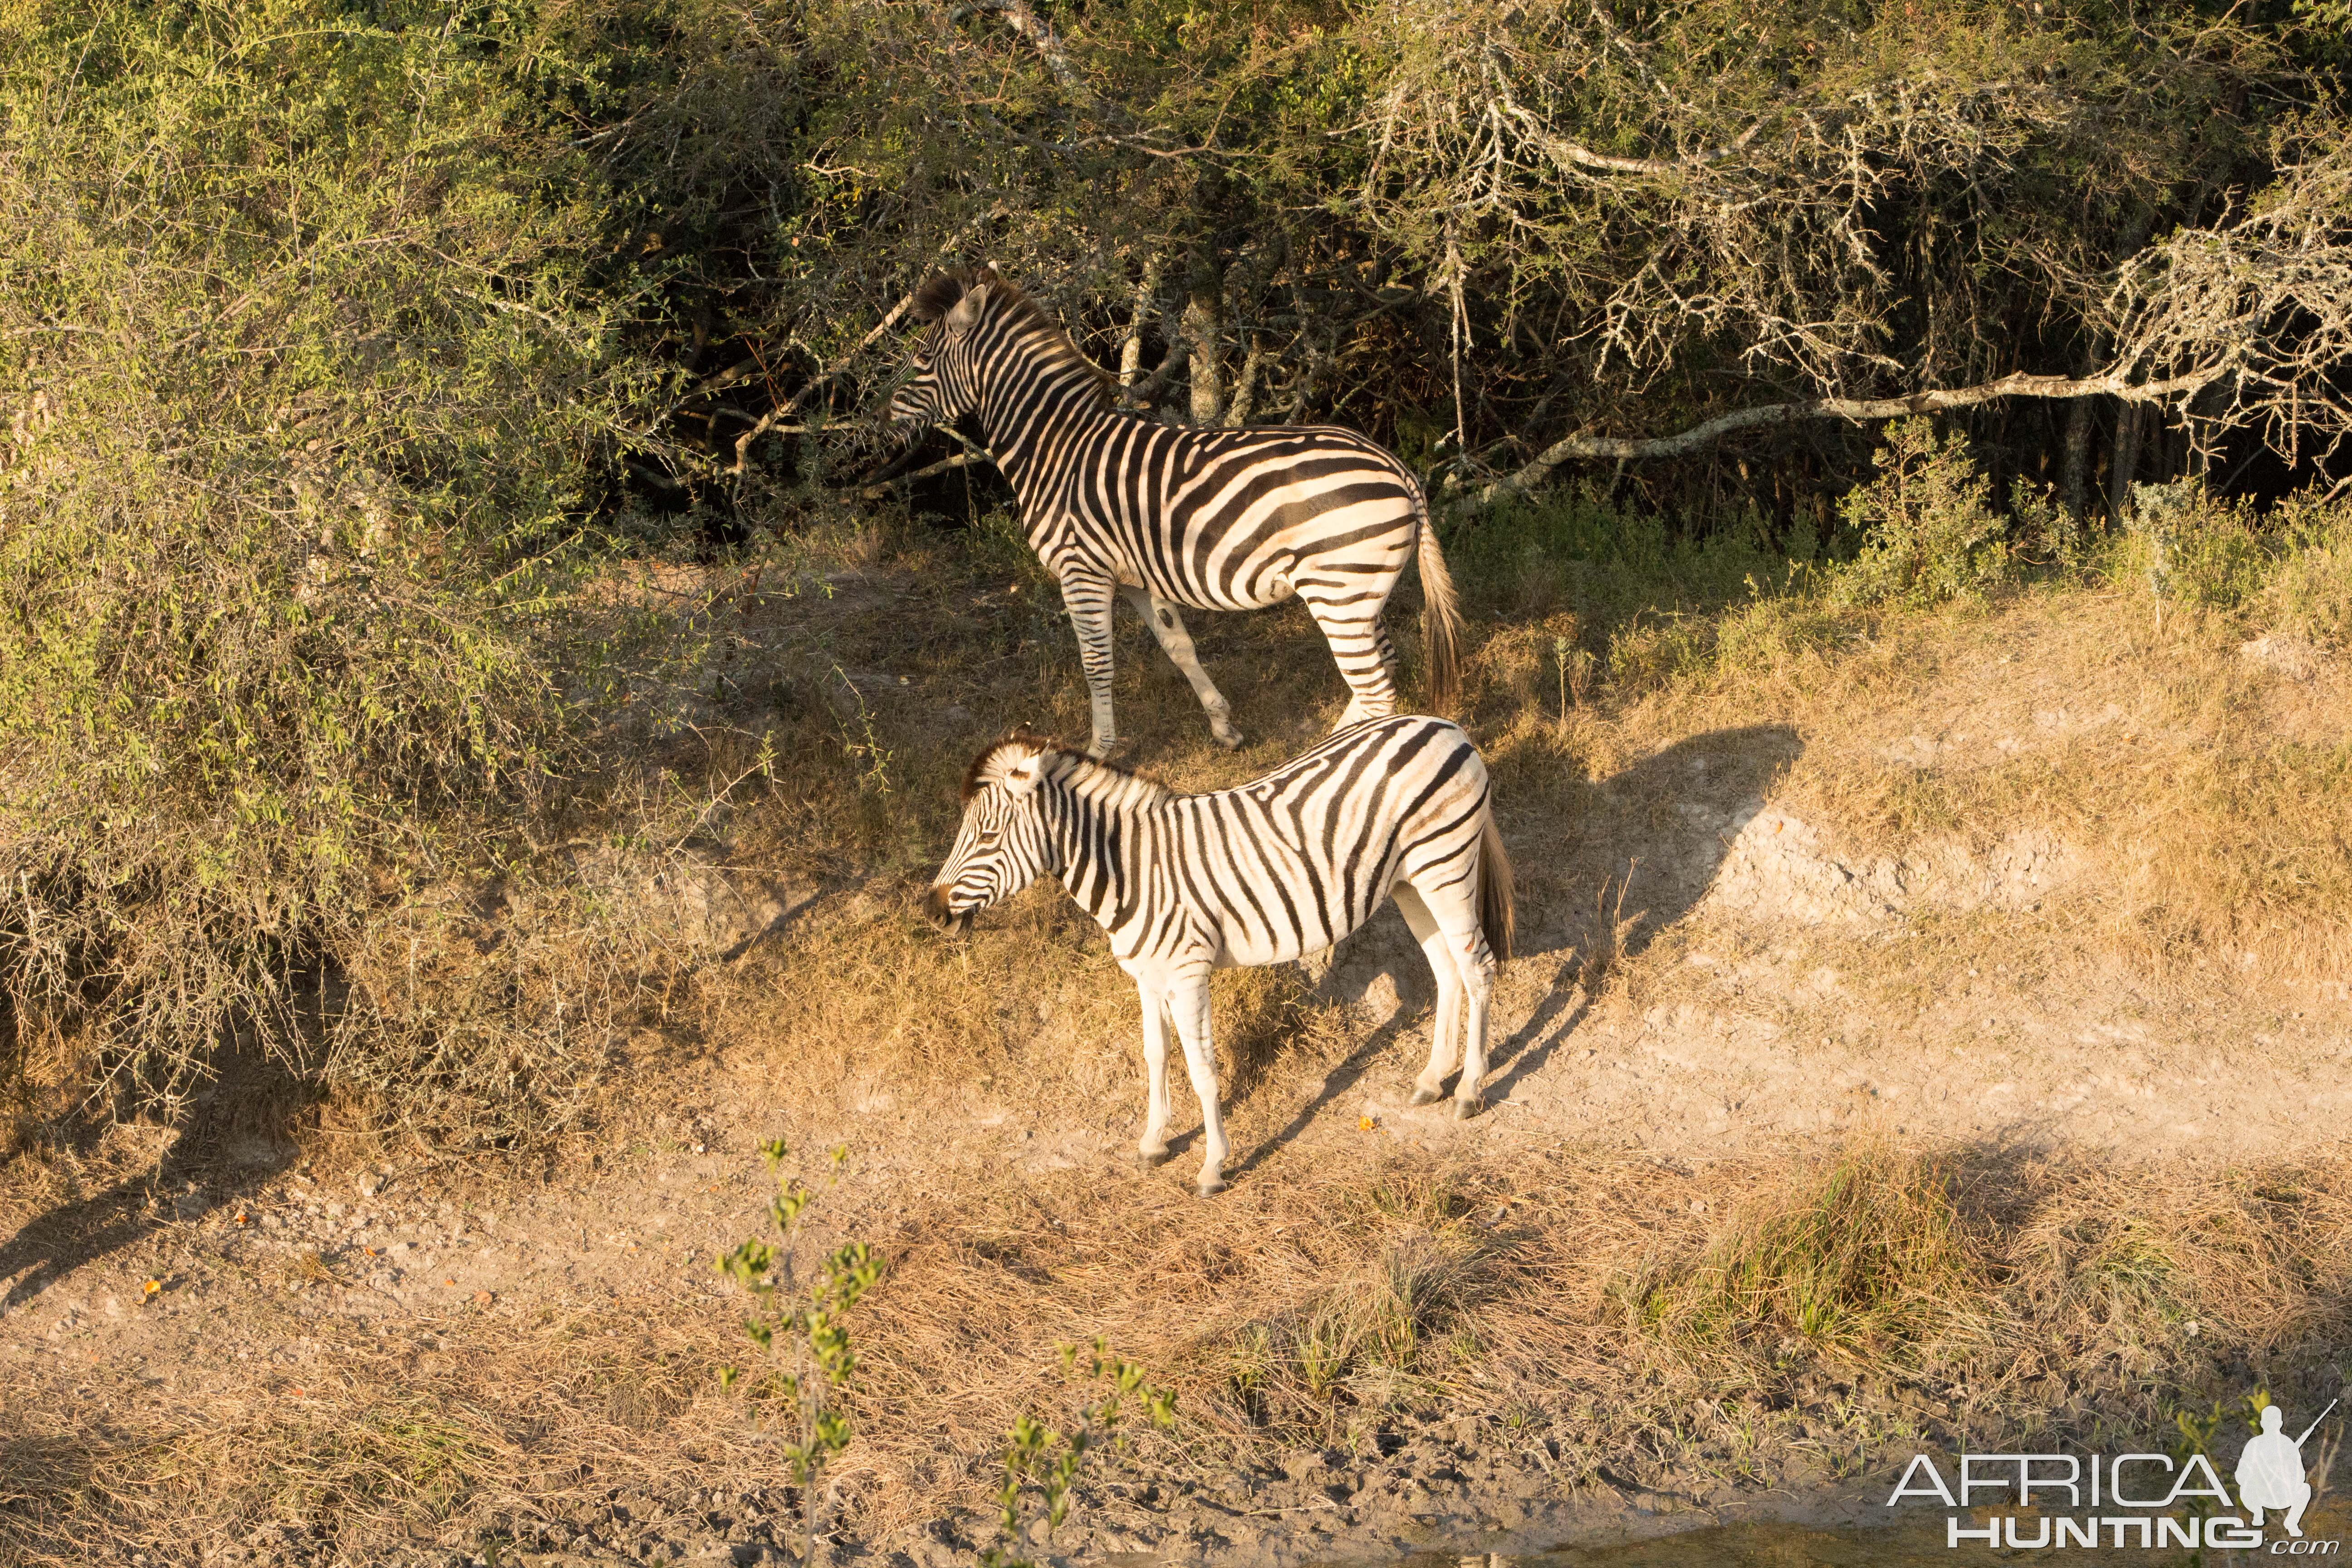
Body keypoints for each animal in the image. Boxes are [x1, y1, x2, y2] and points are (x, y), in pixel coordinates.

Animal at [889, 270, 1458, 761]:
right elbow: (1179, 646)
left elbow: (1097, 665)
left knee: (1375, 687)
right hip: (1357, 590)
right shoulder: (1137, 576)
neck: (1057, 448)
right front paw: (1224, 726)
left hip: (1338, 589)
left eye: (922, 355)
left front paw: (1099, 751)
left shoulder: (1081, 572)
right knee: (1382, 668)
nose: (883, 412)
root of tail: (1395, 465)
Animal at [917, 719, 1505, 1194]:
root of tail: (1444, 725)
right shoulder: (1146, 975)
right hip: (1410, 880)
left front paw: (1212, 1167)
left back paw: (1469, 1091)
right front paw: (1154, 1141)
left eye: (988, 835)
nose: (932, 910)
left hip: (1445, 866)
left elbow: (1203, 1068)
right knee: (1447, 969)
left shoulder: (1187, 972)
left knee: (1478, 968)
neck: (1132, 870)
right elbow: (1155, 1055)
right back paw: (1432, 1081)